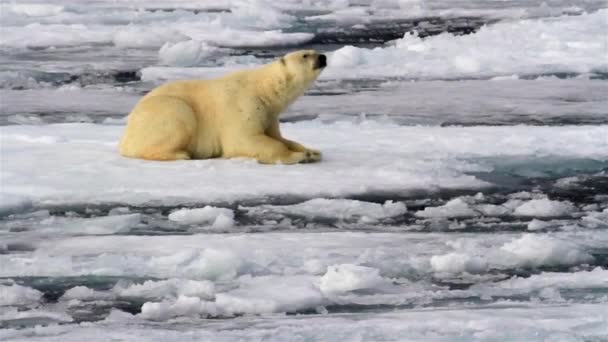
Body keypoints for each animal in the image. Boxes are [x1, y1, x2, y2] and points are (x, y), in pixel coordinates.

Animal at [120, 49, 328, 164]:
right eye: (305, 55)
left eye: (314, 50)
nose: (323, 57)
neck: (263, 89)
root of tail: (124, 139)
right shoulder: (244, 105)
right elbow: (244, 139)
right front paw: (297, 157)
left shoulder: (269, 113)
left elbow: (279, 137)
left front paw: (311, 151)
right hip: (166, 110)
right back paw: (181, 154)